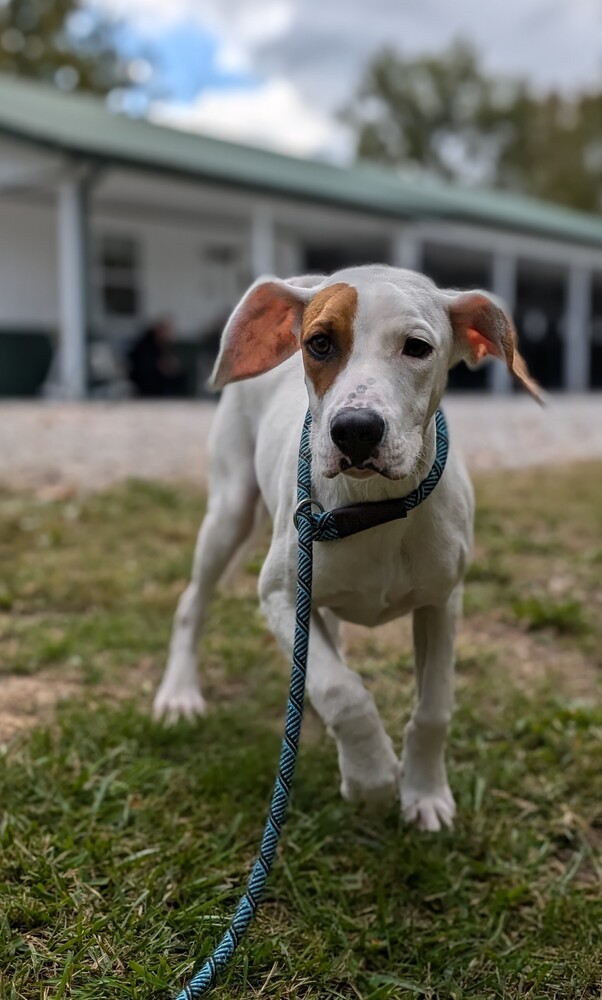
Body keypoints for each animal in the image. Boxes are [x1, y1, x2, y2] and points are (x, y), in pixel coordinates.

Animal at [154, 264, 540, 828]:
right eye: (319, 343)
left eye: (417, 347)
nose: (355, 430)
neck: (372, 507)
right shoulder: (279, 595)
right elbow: (343, 691)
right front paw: (372, 778)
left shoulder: (442, 601)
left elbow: (433, 709)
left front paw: (425, 793)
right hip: (229, 510)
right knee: (191, 603)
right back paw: (179, 694)